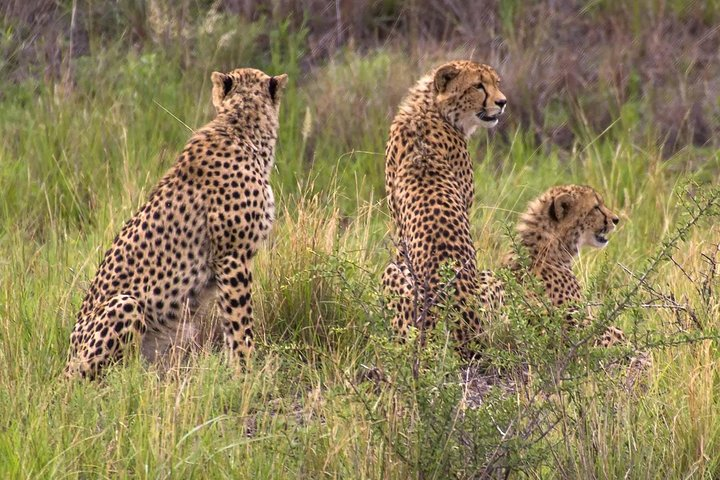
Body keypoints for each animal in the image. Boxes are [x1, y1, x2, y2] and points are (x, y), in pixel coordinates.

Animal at [64, 67, 288, 379]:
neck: (240, 127)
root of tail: (64, 364)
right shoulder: (232, 256)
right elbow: (240, 323)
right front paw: (245, 372)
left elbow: (231, 324)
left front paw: (237, 372)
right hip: (125, 305)